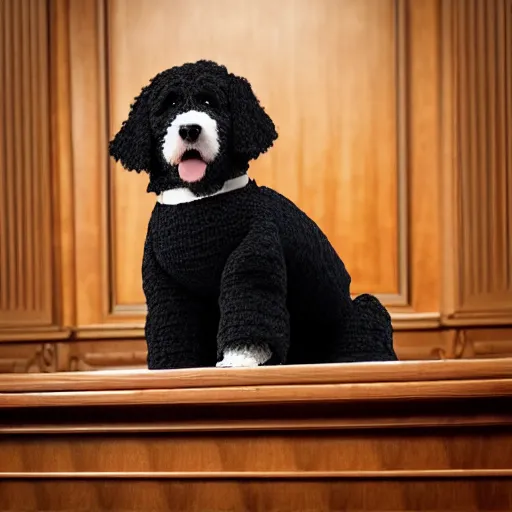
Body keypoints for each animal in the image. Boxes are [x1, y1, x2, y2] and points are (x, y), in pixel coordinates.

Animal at [108, 59, 398, 368]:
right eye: (169, 103)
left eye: (210, 101)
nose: (189, 129)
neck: (200, 198)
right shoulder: (166, 283)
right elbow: (173, 324)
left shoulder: (255, 253)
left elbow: (248, 299)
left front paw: (239, 358)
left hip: (362, 310)